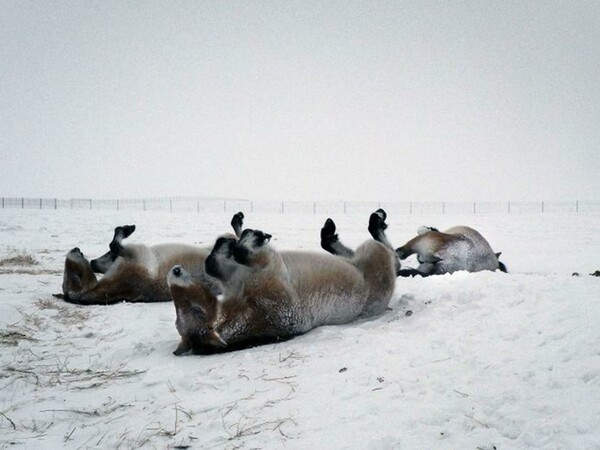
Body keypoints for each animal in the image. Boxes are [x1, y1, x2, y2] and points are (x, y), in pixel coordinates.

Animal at [56, 212, 244, 304]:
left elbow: (112, 250)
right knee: (237, 239)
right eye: (72, 274)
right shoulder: (135, 255)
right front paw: (126, 229)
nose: (76, 250)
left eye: (68, 270)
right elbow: (114, 245)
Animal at [166, 210, 398, 356]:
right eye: (196, 310)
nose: (174, 271)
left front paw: (237, 233)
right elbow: (240, 252)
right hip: (373, 253)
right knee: (390, 253)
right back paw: (376, 220)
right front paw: (248, 237)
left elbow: (220, 261)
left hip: (357, 258)